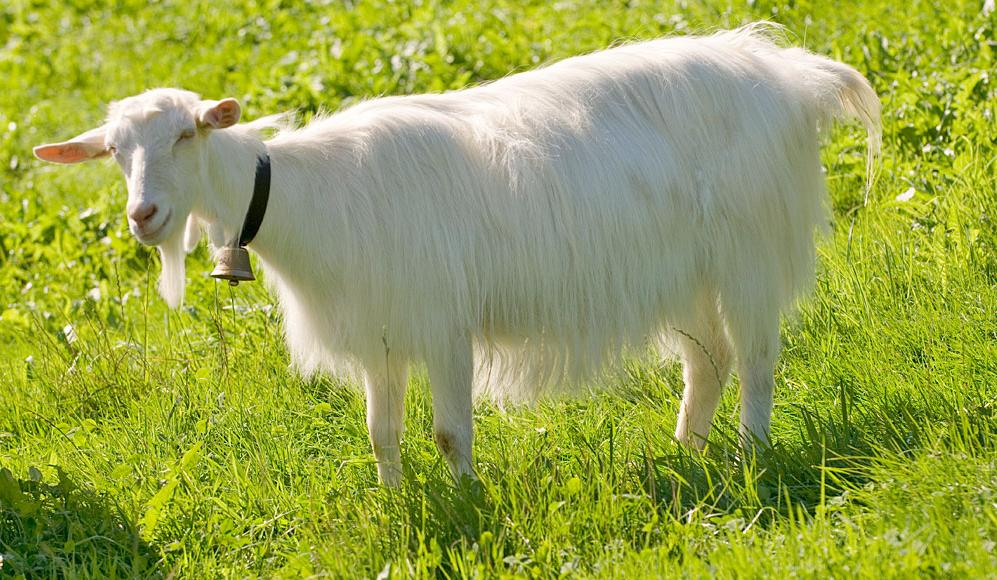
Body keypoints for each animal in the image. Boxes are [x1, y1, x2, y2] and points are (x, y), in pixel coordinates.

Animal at [34, 24, 879, 485]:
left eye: (186, 133)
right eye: (113, 151)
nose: (144, 215)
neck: (315, 193)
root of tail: (788, 73)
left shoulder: (442, 325)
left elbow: (448, 432)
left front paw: (467, 498)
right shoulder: (380, 333)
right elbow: (380, 433)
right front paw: (398, 501)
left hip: (748, 250)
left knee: (758, 359)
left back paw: (747, 456)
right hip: (689, 269)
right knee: (708, 361)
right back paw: (685, 454)